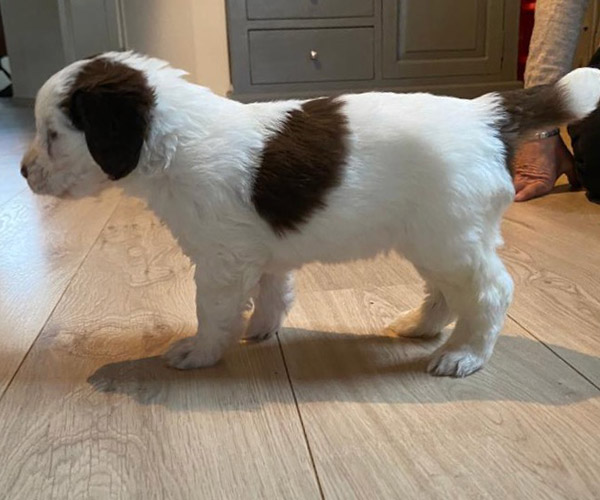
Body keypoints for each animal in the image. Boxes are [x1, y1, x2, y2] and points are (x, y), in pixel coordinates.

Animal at [21, 52, 600, 377]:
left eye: (53, 136)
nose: (24, 173)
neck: (174, 141)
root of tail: (487, 112)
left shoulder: (221, 258)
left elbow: (213, 310)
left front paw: (201, 353)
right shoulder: (258, 249)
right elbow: (273, 289)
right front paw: (261, 329)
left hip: (449, 236)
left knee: (490, 291)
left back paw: (466, 355)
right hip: (431, 237)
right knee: (445, 291)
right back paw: (419, 326)